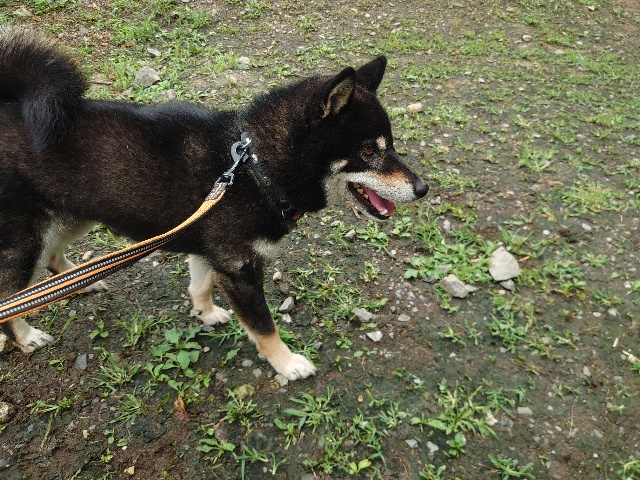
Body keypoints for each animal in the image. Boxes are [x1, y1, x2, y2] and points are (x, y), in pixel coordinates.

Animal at [0, 28, 427, 381]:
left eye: (390, 144)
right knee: (12, 294)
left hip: (74, 215)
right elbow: (264, 327)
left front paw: (205, 313)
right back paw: (26, 335)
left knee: (53, 256)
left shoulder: (210, 250)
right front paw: (287, 363)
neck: (253, 170)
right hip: (27, 238)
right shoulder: (239, 269)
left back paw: (79, 280)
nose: (422, 188)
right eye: (369, 150)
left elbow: (200, 285)